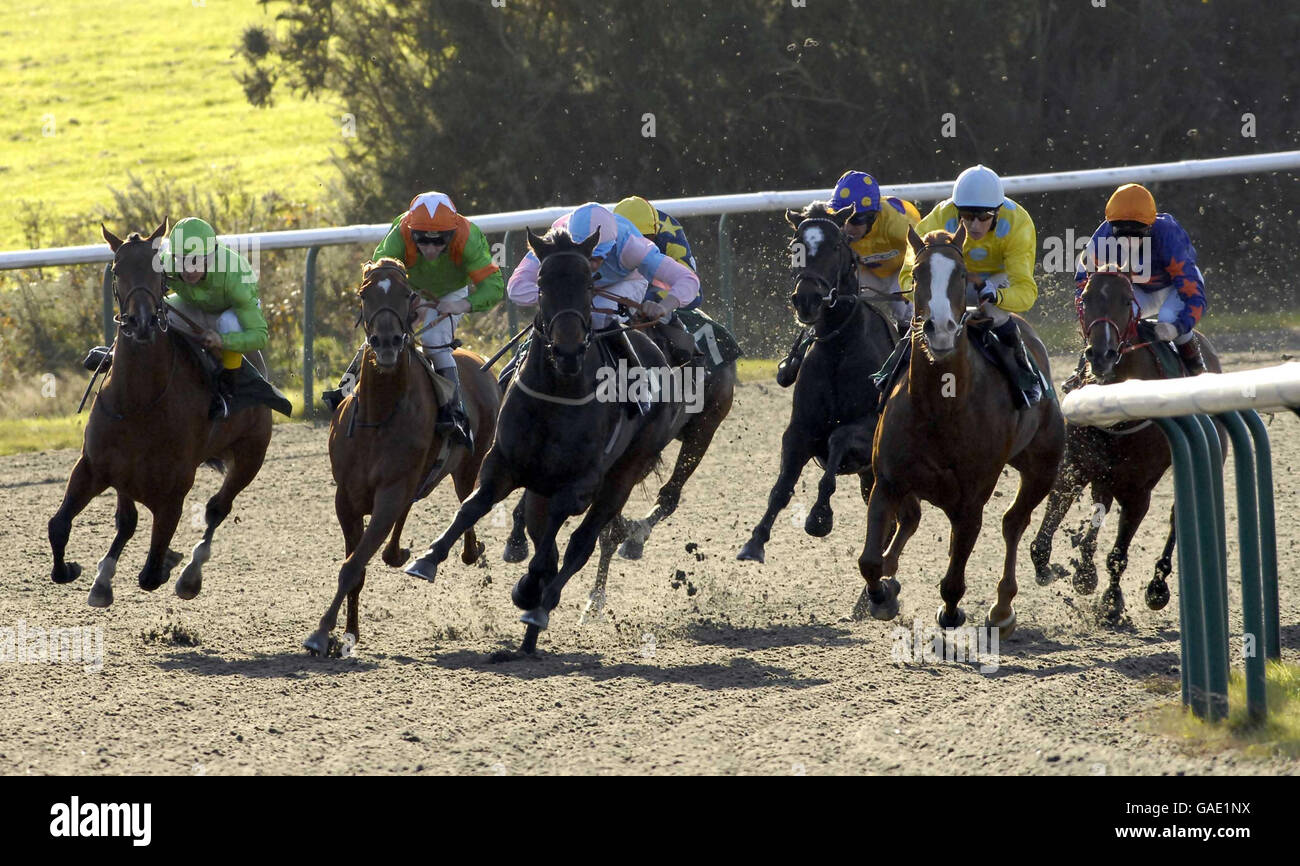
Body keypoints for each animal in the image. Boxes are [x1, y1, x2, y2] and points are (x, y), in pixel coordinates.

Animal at [48, 219, 274, 603]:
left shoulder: (173, 492)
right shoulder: (93, 466)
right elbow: (59, 526)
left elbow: (152, 571)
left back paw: (190, 574)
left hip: (251, 456)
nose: (141, 323)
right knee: (126, 522)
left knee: (217, 508)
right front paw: (72, 570)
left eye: (158, 273)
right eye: (117, 270)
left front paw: (171, 561)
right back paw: (103, 579)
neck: (139, 402)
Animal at [302, 260, 496, 650]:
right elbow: (356, 565)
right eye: (365, 294)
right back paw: (400, 553)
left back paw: (468, 550)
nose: (388, 342)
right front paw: (347, 632)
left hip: (469, 463)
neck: (378, 417)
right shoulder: (345, 497)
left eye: (408, 294)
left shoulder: (390, 492)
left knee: (467, 501)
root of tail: (481, 360)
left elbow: (353, 565)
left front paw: (321, 633)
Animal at [738, 205, 909, 564]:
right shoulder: (800, 430)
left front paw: (819, 516)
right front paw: (755, 541)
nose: (807, 299)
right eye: (795, 247)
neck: (839, 349)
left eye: (834, 246)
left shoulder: (868, 430)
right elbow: (781, 487)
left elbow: (838, 438)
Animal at [857, 226, 1060, 634]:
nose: (940, 330)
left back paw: (1002, 608)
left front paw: (951, 612)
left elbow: (954, 580)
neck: (942, 409)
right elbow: (869, 560)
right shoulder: (888, 481)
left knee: (1014, 522)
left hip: (1043, 467)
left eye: (963, 275)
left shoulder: (971, 501)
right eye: (918, 274)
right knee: (910, 525)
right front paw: (882, 596)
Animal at [1029, 267, 1222, 613]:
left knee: (1175, 517)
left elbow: (1118, 555)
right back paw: (1086, 569)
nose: (1101, 355)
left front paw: (1112, 602)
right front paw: (1060, 570)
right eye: (1086, 298)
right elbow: (1046, 533)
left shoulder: (1138, 491)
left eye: (1126, 300)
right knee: (1102, 503)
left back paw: (1157, 586)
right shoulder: (1075, 466)